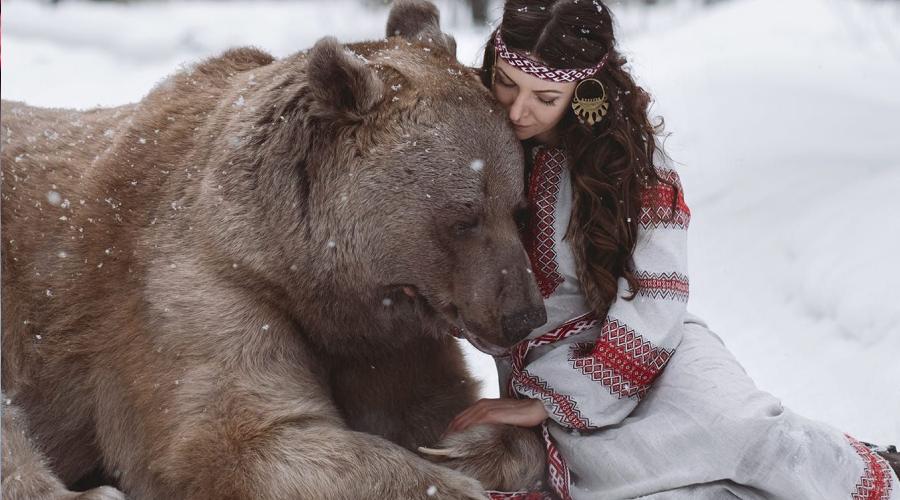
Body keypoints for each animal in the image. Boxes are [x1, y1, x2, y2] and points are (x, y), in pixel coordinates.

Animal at [1, 1, 548, 498]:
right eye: (463, 219)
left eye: (518, 209)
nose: (524, 315)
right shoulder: (200, 290)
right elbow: (239, 438)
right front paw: (449, 481)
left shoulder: (388, 343)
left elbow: (435, 403)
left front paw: (469, 443)